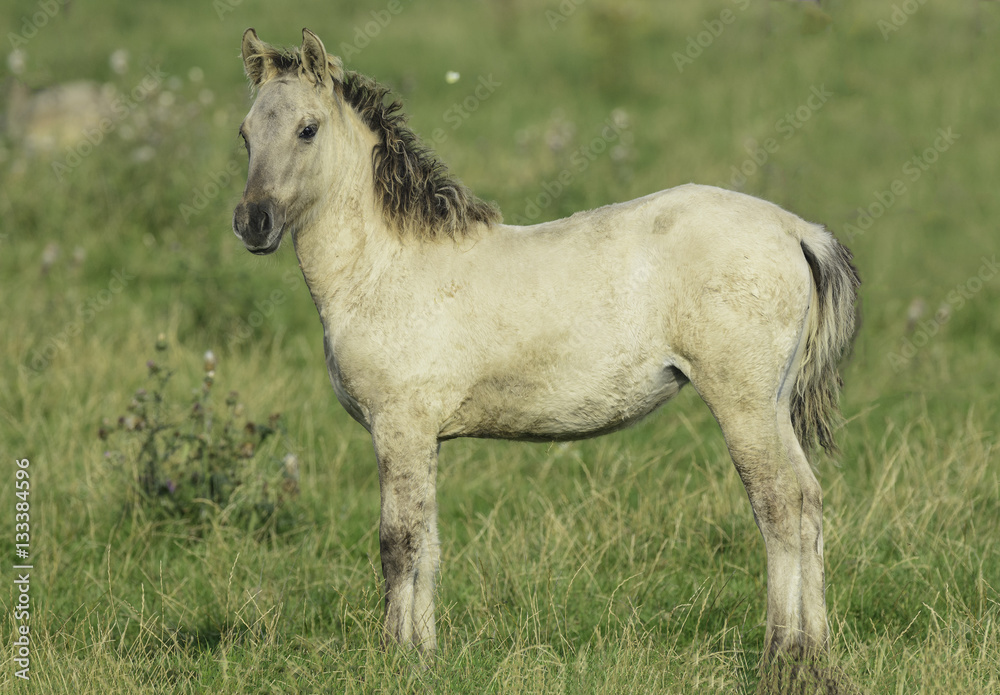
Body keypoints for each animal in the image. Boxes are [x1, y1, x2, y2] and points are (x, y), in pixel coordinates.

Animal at [232, 27, 860, 692]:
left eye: (307, 129)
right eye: (245, 134)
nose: (253, 223)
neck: (384, 267)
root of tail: (795, 229)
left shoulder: (399, 428)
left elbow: (397, 544)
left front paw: (394, 658)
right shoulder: (424, 437)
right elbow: (428, 544)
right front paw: (426, 657)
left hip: (742, 405)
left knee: (780, 508)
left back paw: (780, 659)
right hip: (774, 406)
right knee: (809, 504)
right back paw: (816, 660)